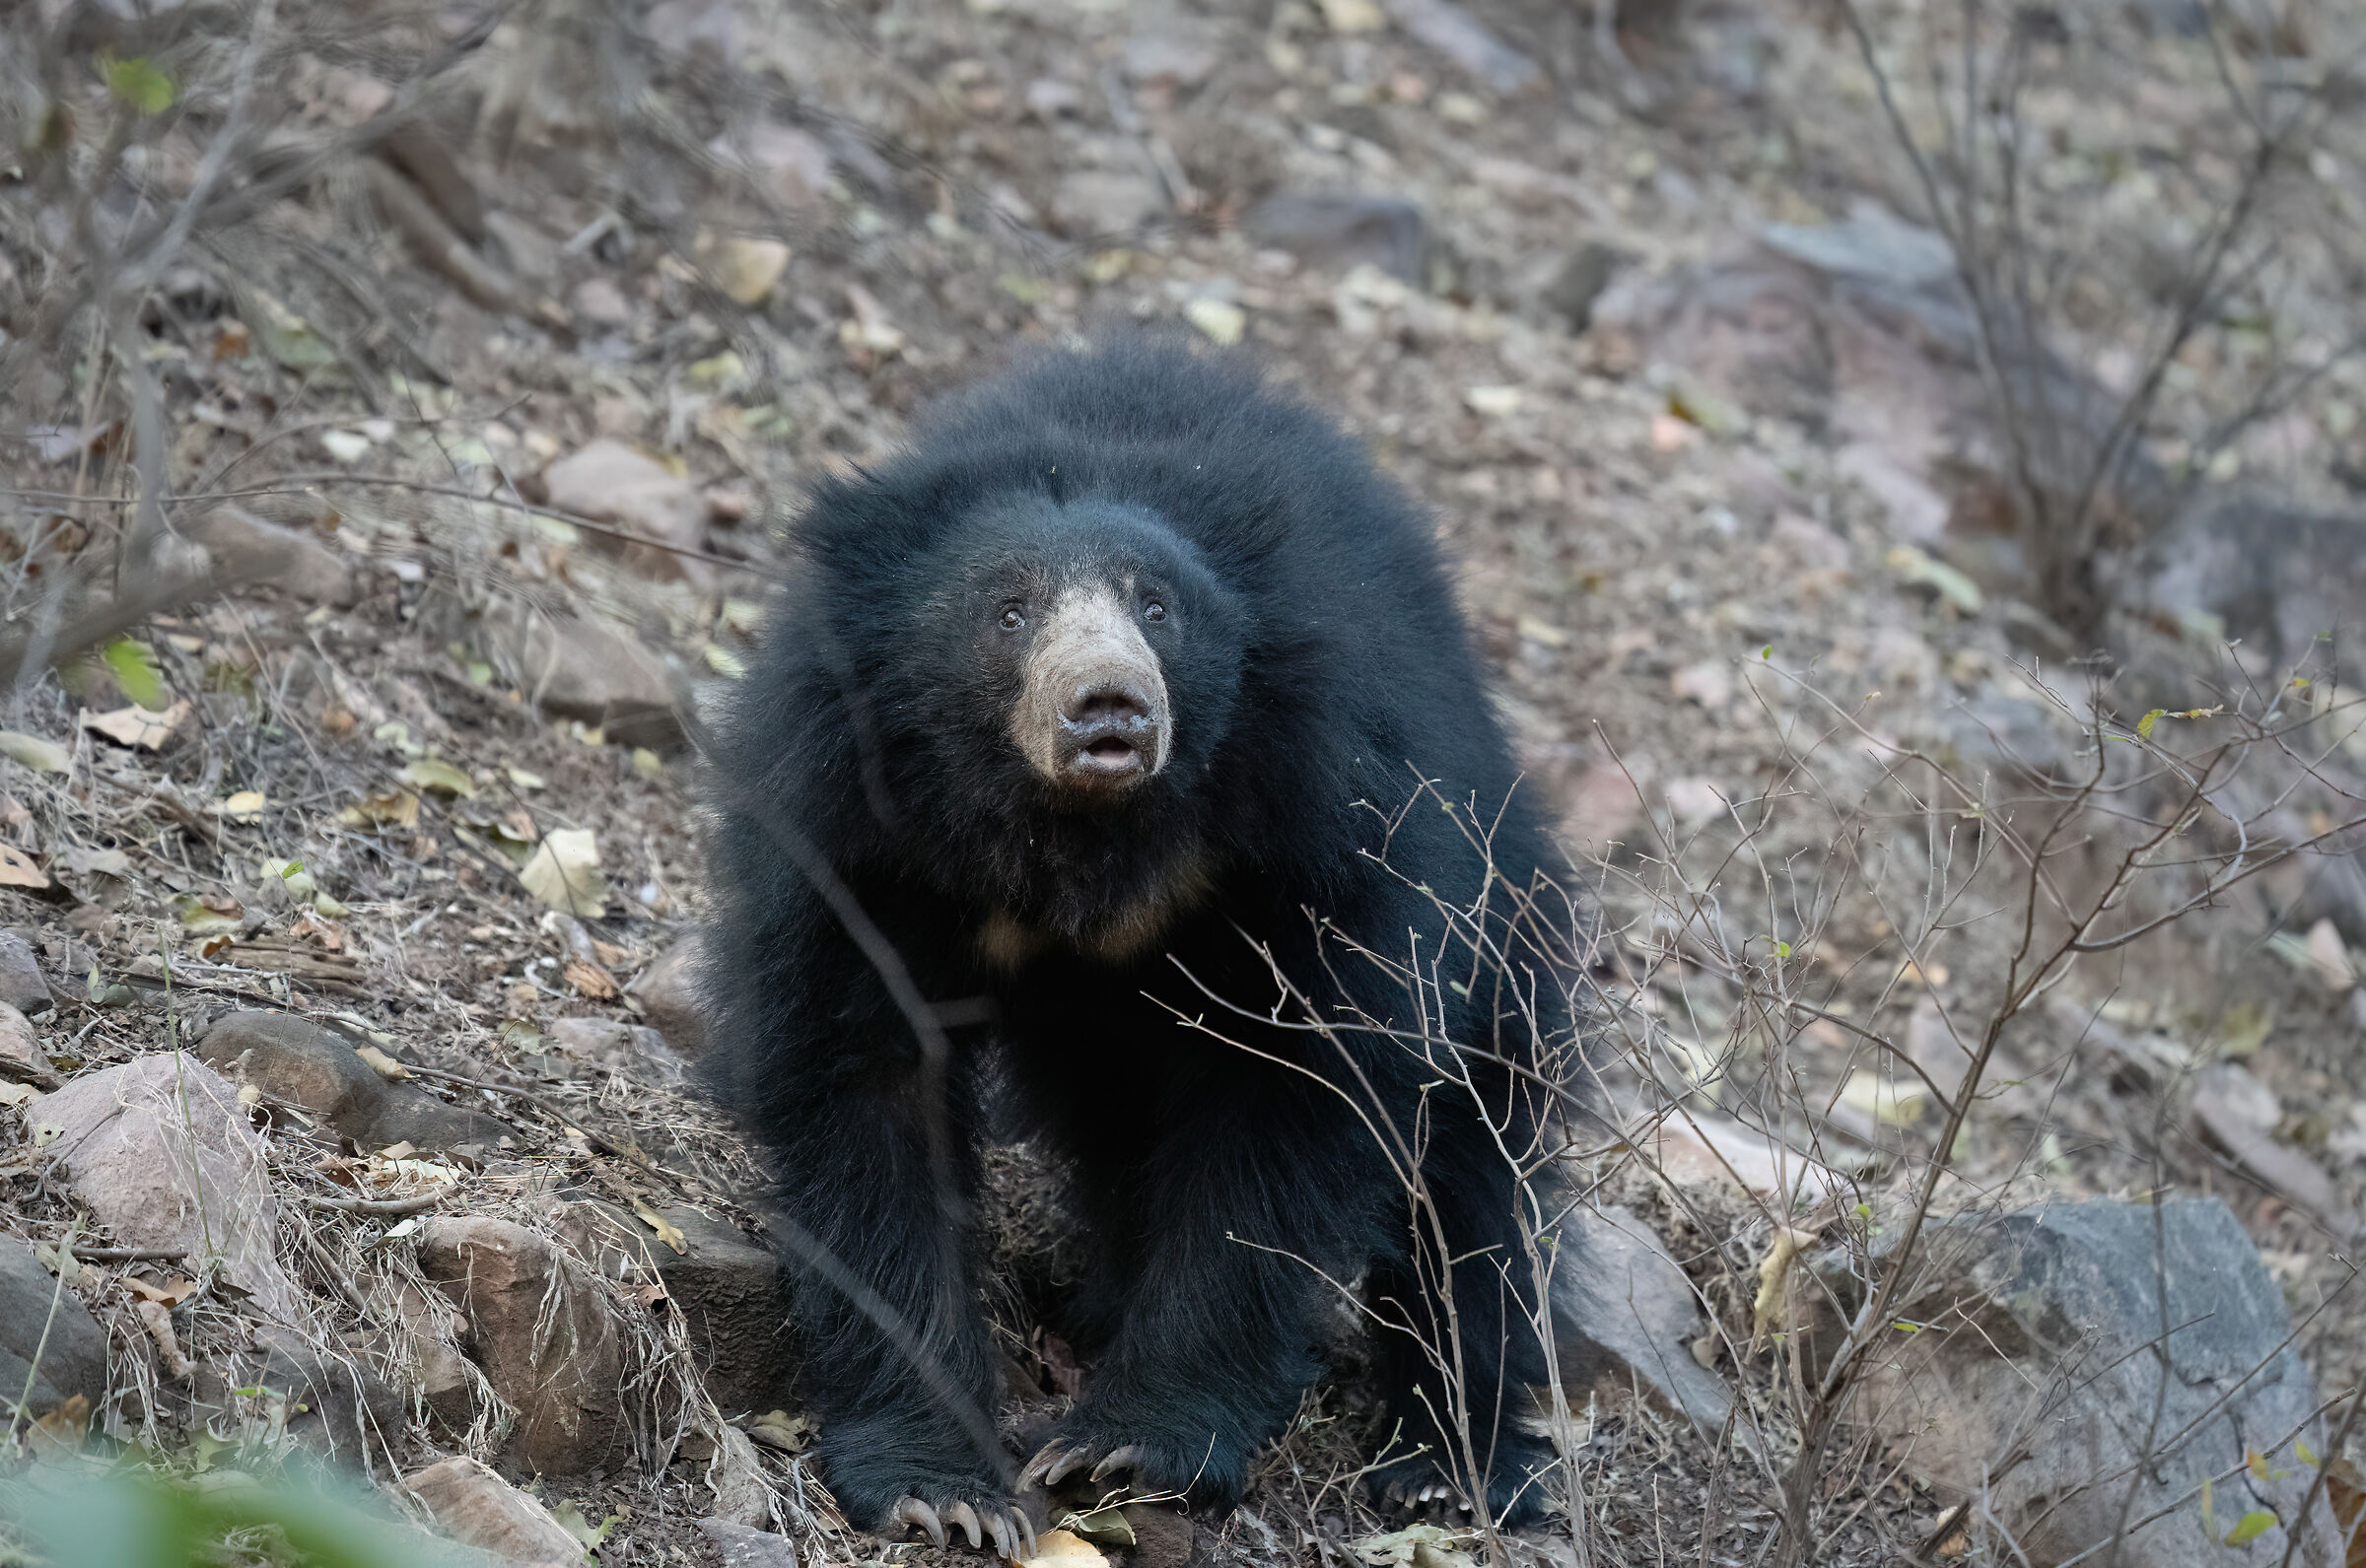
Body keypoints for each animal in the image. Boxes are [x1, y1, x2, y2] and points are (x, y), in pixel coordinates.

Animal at [699, 339, 1590, 1554]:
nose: (1107, 704)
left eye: (1157, 607)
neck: (1085, 835)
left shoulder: (1328, 825)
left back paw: (1449, 1463)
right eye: (1009, 610)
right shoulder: (854, 835)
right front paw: (943, 1488)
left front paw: (1126, 1444)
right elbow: (865, 1093)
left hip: (1498, 911)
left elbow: (1294, 1102)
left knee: (1475, 1178)